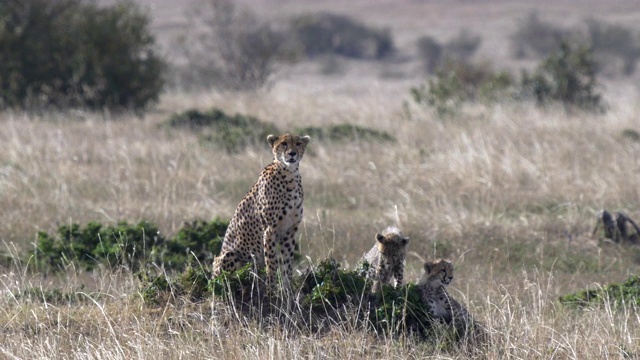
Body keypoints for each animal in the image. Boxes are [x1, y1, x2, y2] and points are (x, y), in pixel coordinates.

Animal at [214, 132, 312, 286]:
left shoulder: (289, 231)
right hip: (228, 255)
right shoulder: (270, 229)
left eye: (298, 143)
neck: (290, 174)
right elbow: (271, 264)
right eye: (284, 143)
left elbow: (287, 264)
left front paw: (288, 288)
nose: (292, 153)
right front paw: (272, 287)